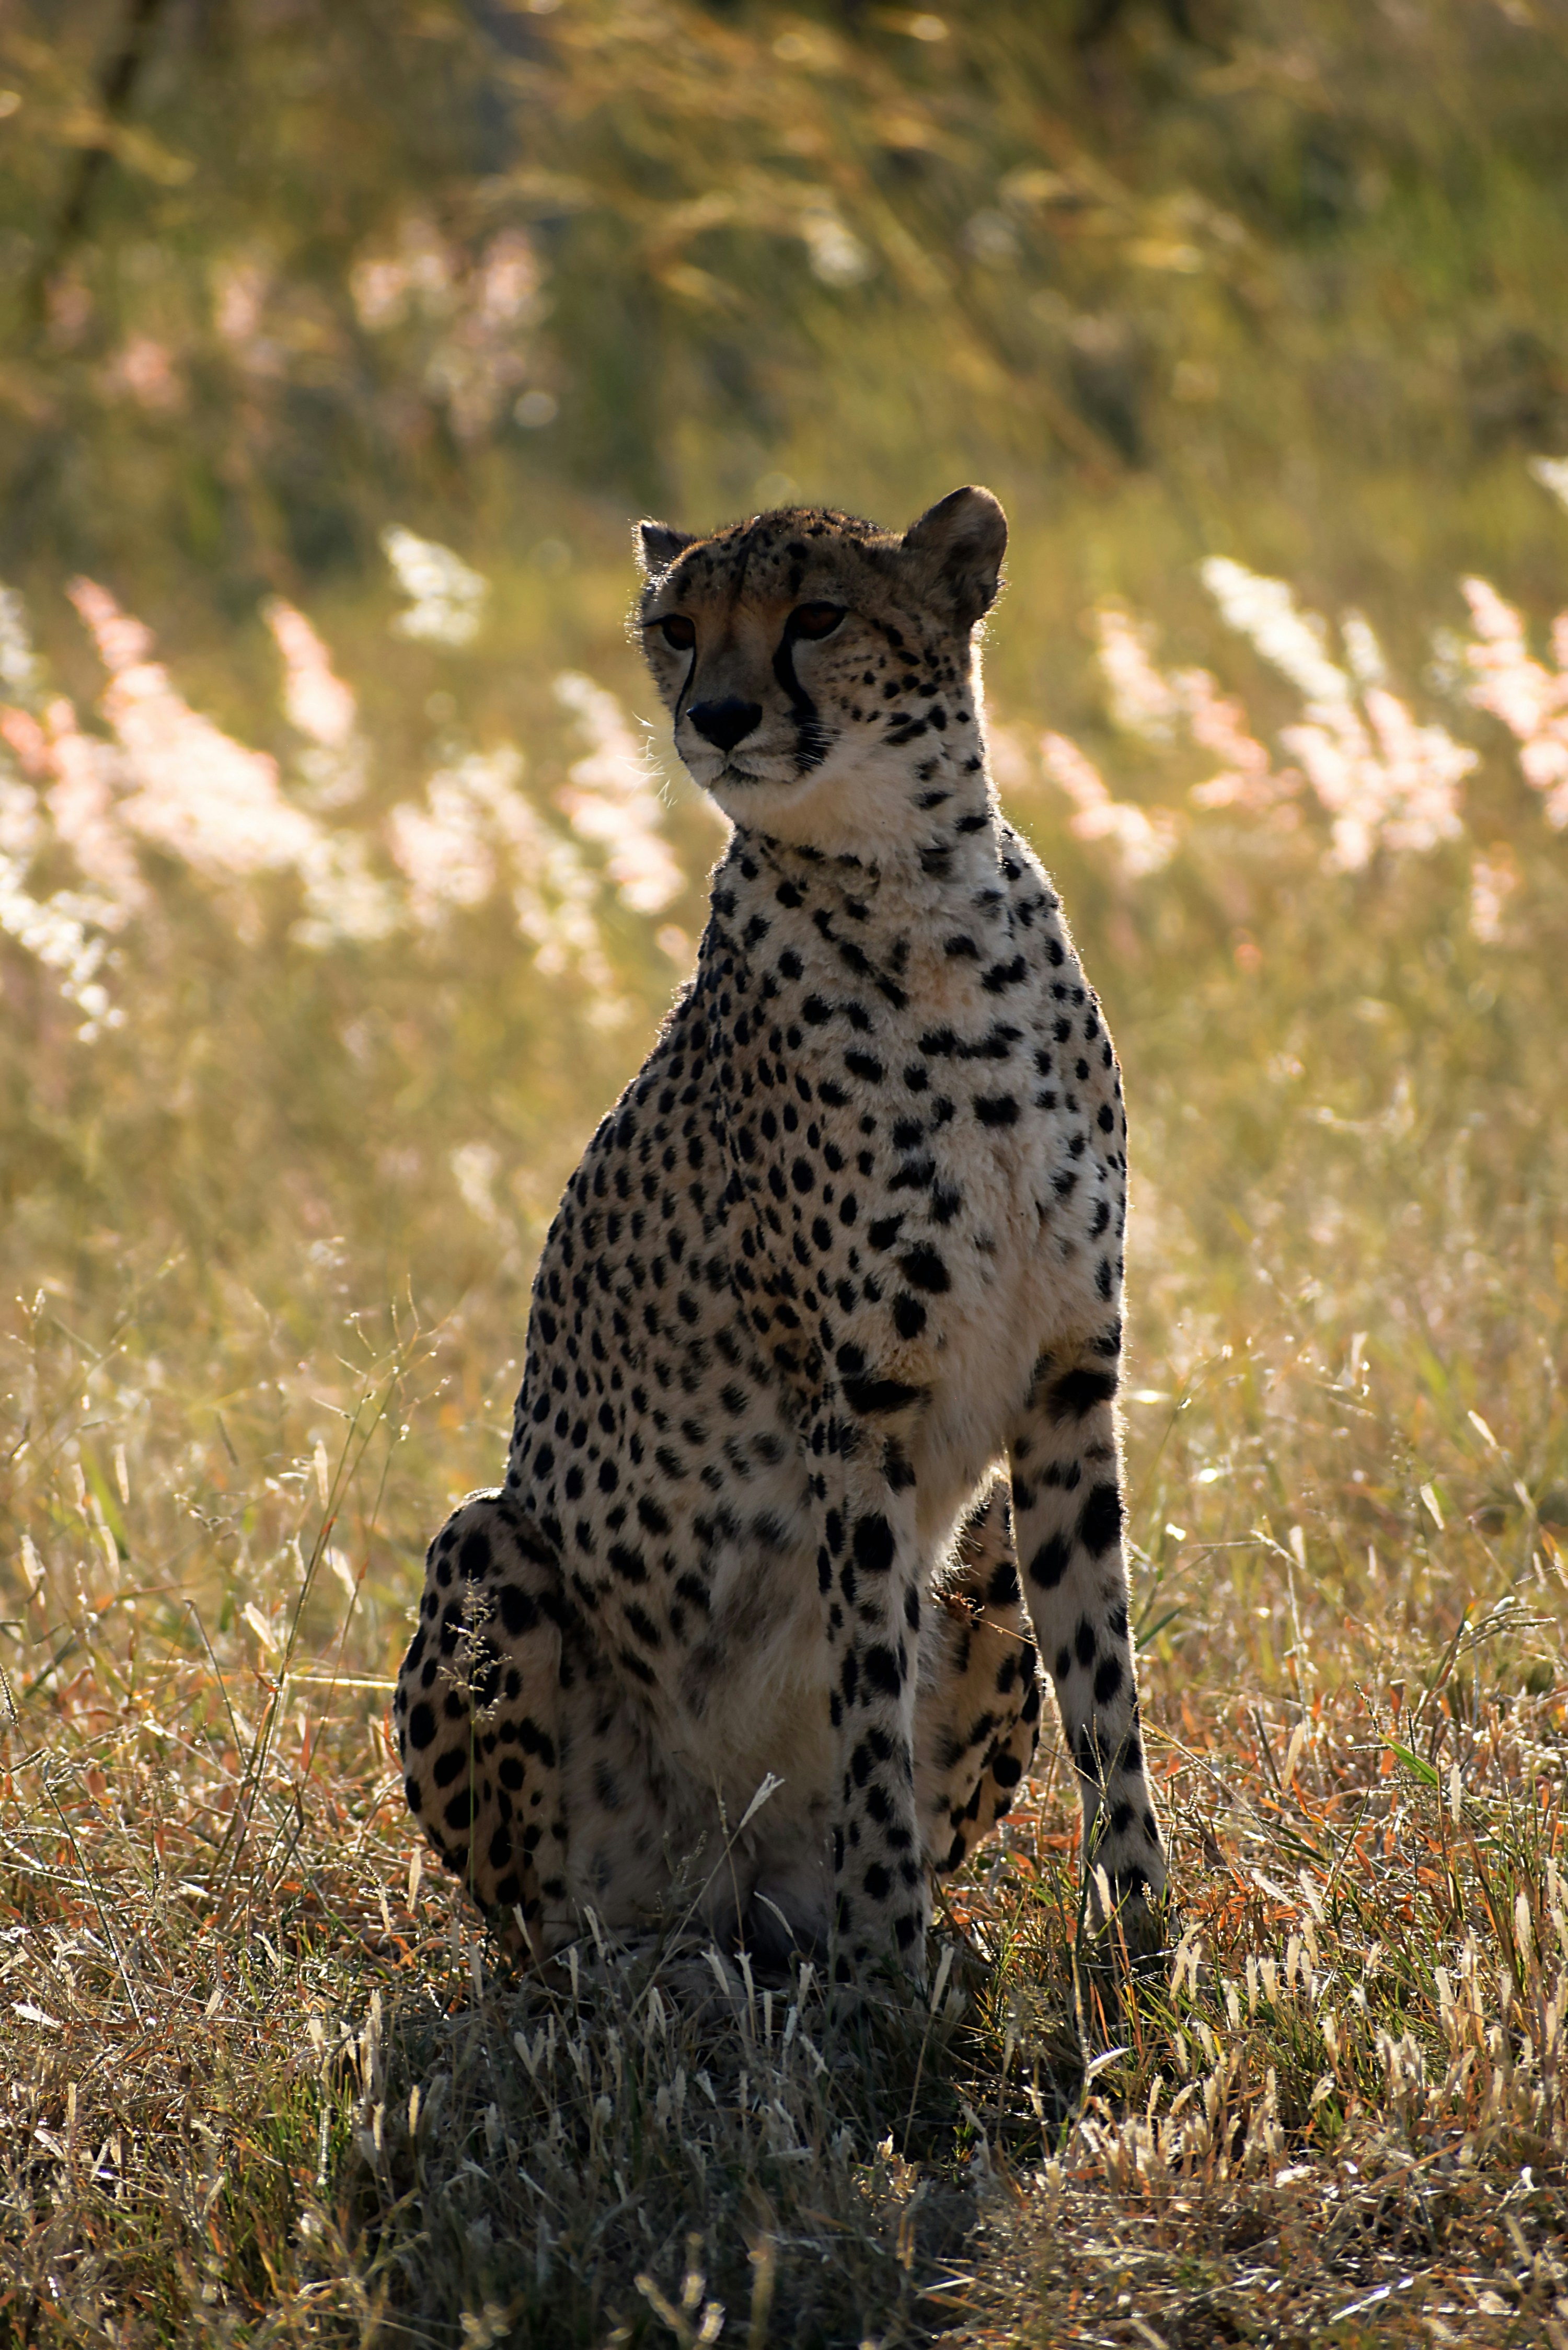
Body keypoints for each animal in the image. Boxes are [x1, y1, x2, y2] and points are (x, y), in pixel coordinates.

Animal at [393, 485, 1168, 1984]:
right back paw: (644, 1969)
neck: (919, 893)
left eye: (816, 615)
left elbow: (1106, 1687)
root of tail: (736, 1900)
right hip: (488, 1554)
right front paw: (885, 1973)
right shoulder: (856, 1404)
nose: (718, 715)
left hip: (981, 1548)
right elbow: (866, 1687)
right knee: (541, 1915)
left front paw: (1150, 1949)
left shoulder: (1066, 1379)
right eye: (678, 629)